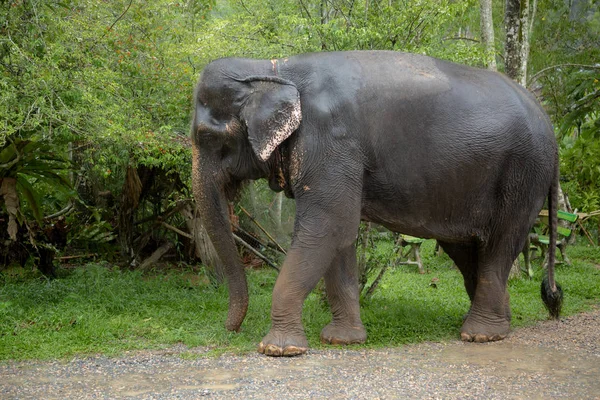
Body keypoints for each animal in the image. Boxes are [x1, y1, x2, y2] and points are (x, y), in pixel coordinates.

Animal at [191, 49, 564, 356]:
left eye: (207, 137)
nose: (231, 330)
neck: (272, 66)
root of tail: (548, 121)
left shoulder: (331, 141)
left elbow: (327, 226)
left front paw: (278, 349)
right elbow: (339, 235)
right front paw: (341, 340)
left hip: (523, 174)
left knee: (501, 242)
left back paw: (480, 334)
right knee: (466, 248)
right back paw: (496, 324)